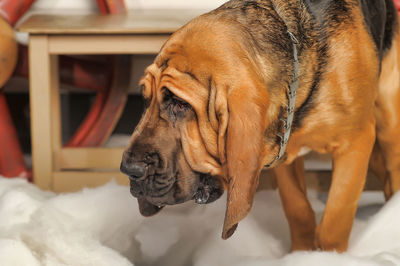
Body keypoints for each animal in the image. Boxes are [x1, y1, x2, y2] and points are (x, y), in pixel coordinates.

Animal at [120, 0, 400, 252]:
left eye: (180, 104)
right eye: (144, 99)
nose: (129, 169)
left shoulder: (355, 143)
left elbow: (336, 218)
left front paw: (328, 254)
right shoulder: (283, 152)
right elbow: (298, 209)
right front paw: (301, 252)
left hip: (388, 124)